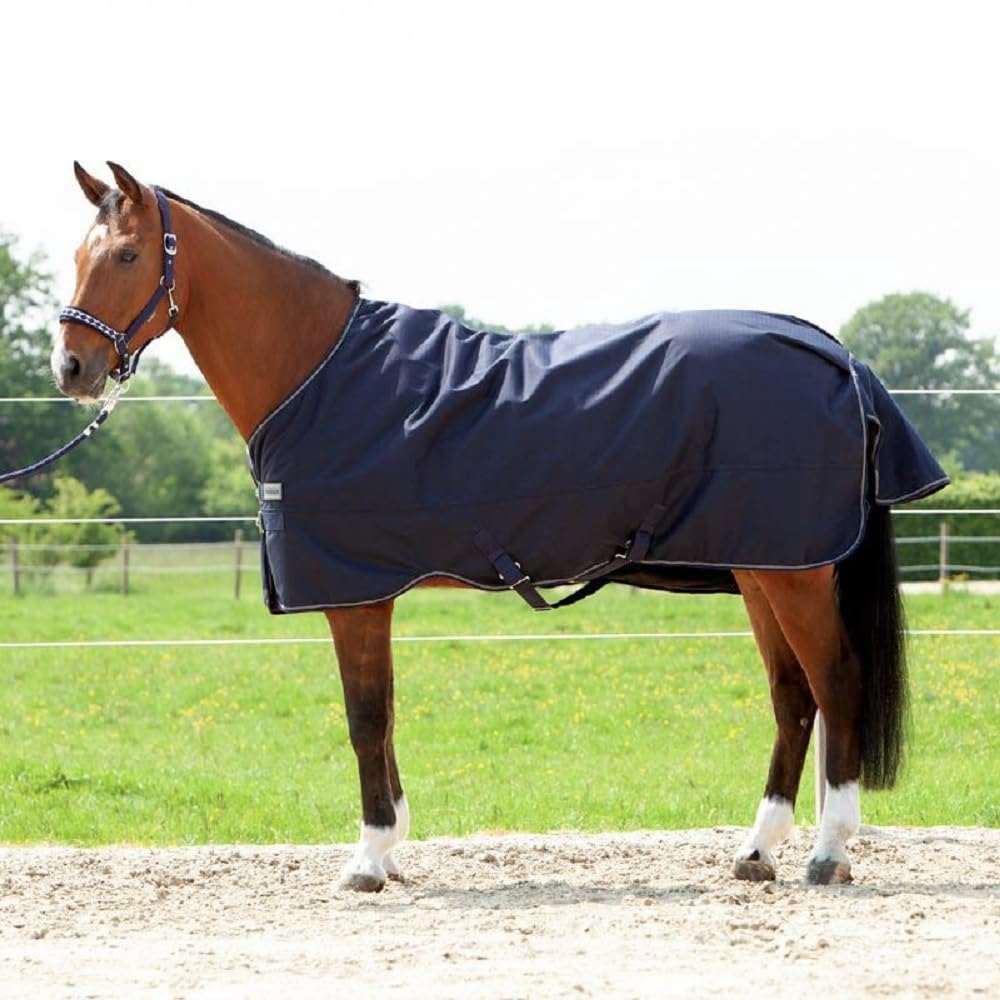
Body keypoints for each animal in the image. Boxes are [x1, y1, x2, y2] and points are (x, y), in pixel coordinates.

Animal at [51, 162, 947, 892]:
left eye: (126, 256)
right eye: (76, 256)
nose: (72, 369)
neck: (318, 374)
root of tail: (832, 352)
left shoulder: (355, 595)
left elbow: (364, 718)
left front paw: (369, 858)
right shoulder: (373, 592)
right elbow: (384, 716)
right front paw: (393, 849)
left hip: (793, 572)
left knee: (837, 682)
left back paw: (828, 854)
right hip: (764, 564)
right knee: (793, 697)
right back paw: (757, 851)